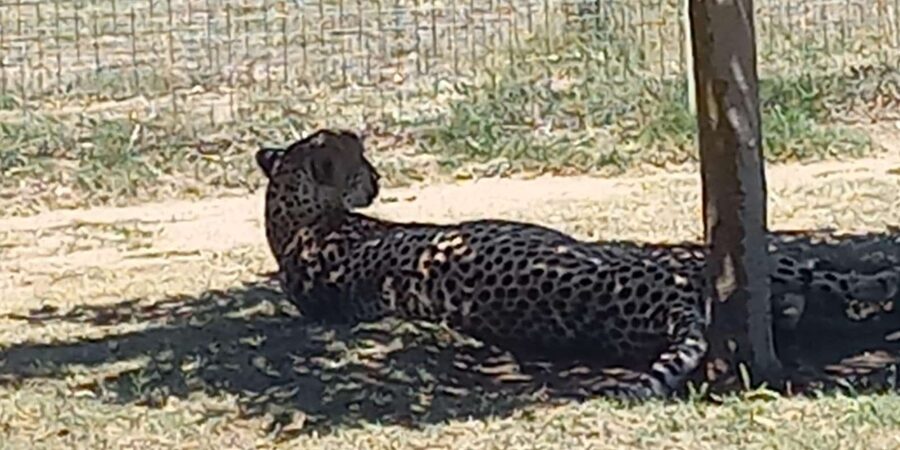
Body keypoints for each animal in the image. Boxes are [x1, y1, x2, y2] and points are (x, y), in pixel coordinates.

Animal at [256, 128, 900, 399]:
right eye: (360, 161)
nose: (379, 177)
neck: (293, 221)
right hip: (683, 254)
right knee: (815, 273)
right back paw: (879, 280)